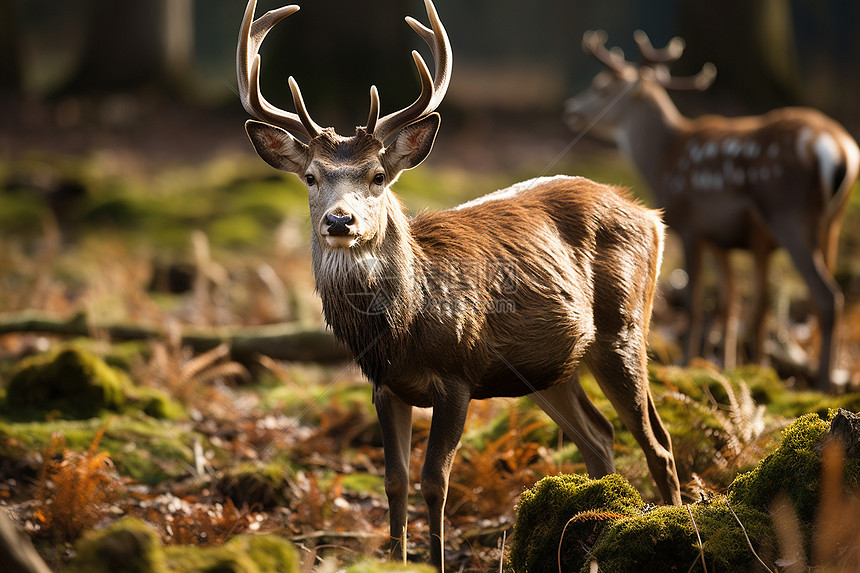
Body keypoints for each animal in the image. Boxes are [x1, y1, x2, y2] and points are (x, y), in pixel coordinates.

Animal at [239, 3, 680, 568]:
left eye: (378, 175)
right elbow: (395, 481)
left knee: (657, 441)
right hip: (550, 367)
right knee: (600, 438)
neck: (405, 323)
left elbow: (435, 481)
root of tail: (651, 215)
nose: (340, 221)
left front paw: (436, 560)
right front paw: (398, 558)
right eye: (311, 176)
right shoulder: (385, 386)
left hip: (623, 327)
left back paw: (675, 524)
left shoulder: (457, 376)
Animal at [564, 30, 860, 388]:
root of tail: (840, 150)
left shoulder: (691, 226)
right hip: (832, 220)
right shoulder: (721, 238)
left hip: (789, 213)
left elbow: (694, 303)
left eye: (603, 85)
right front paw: (728, 368)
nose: (570, 108)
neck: (661, 162)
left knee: (827, 294)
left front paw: (685, 363)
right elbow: (729, 304)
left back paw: (825, 383)